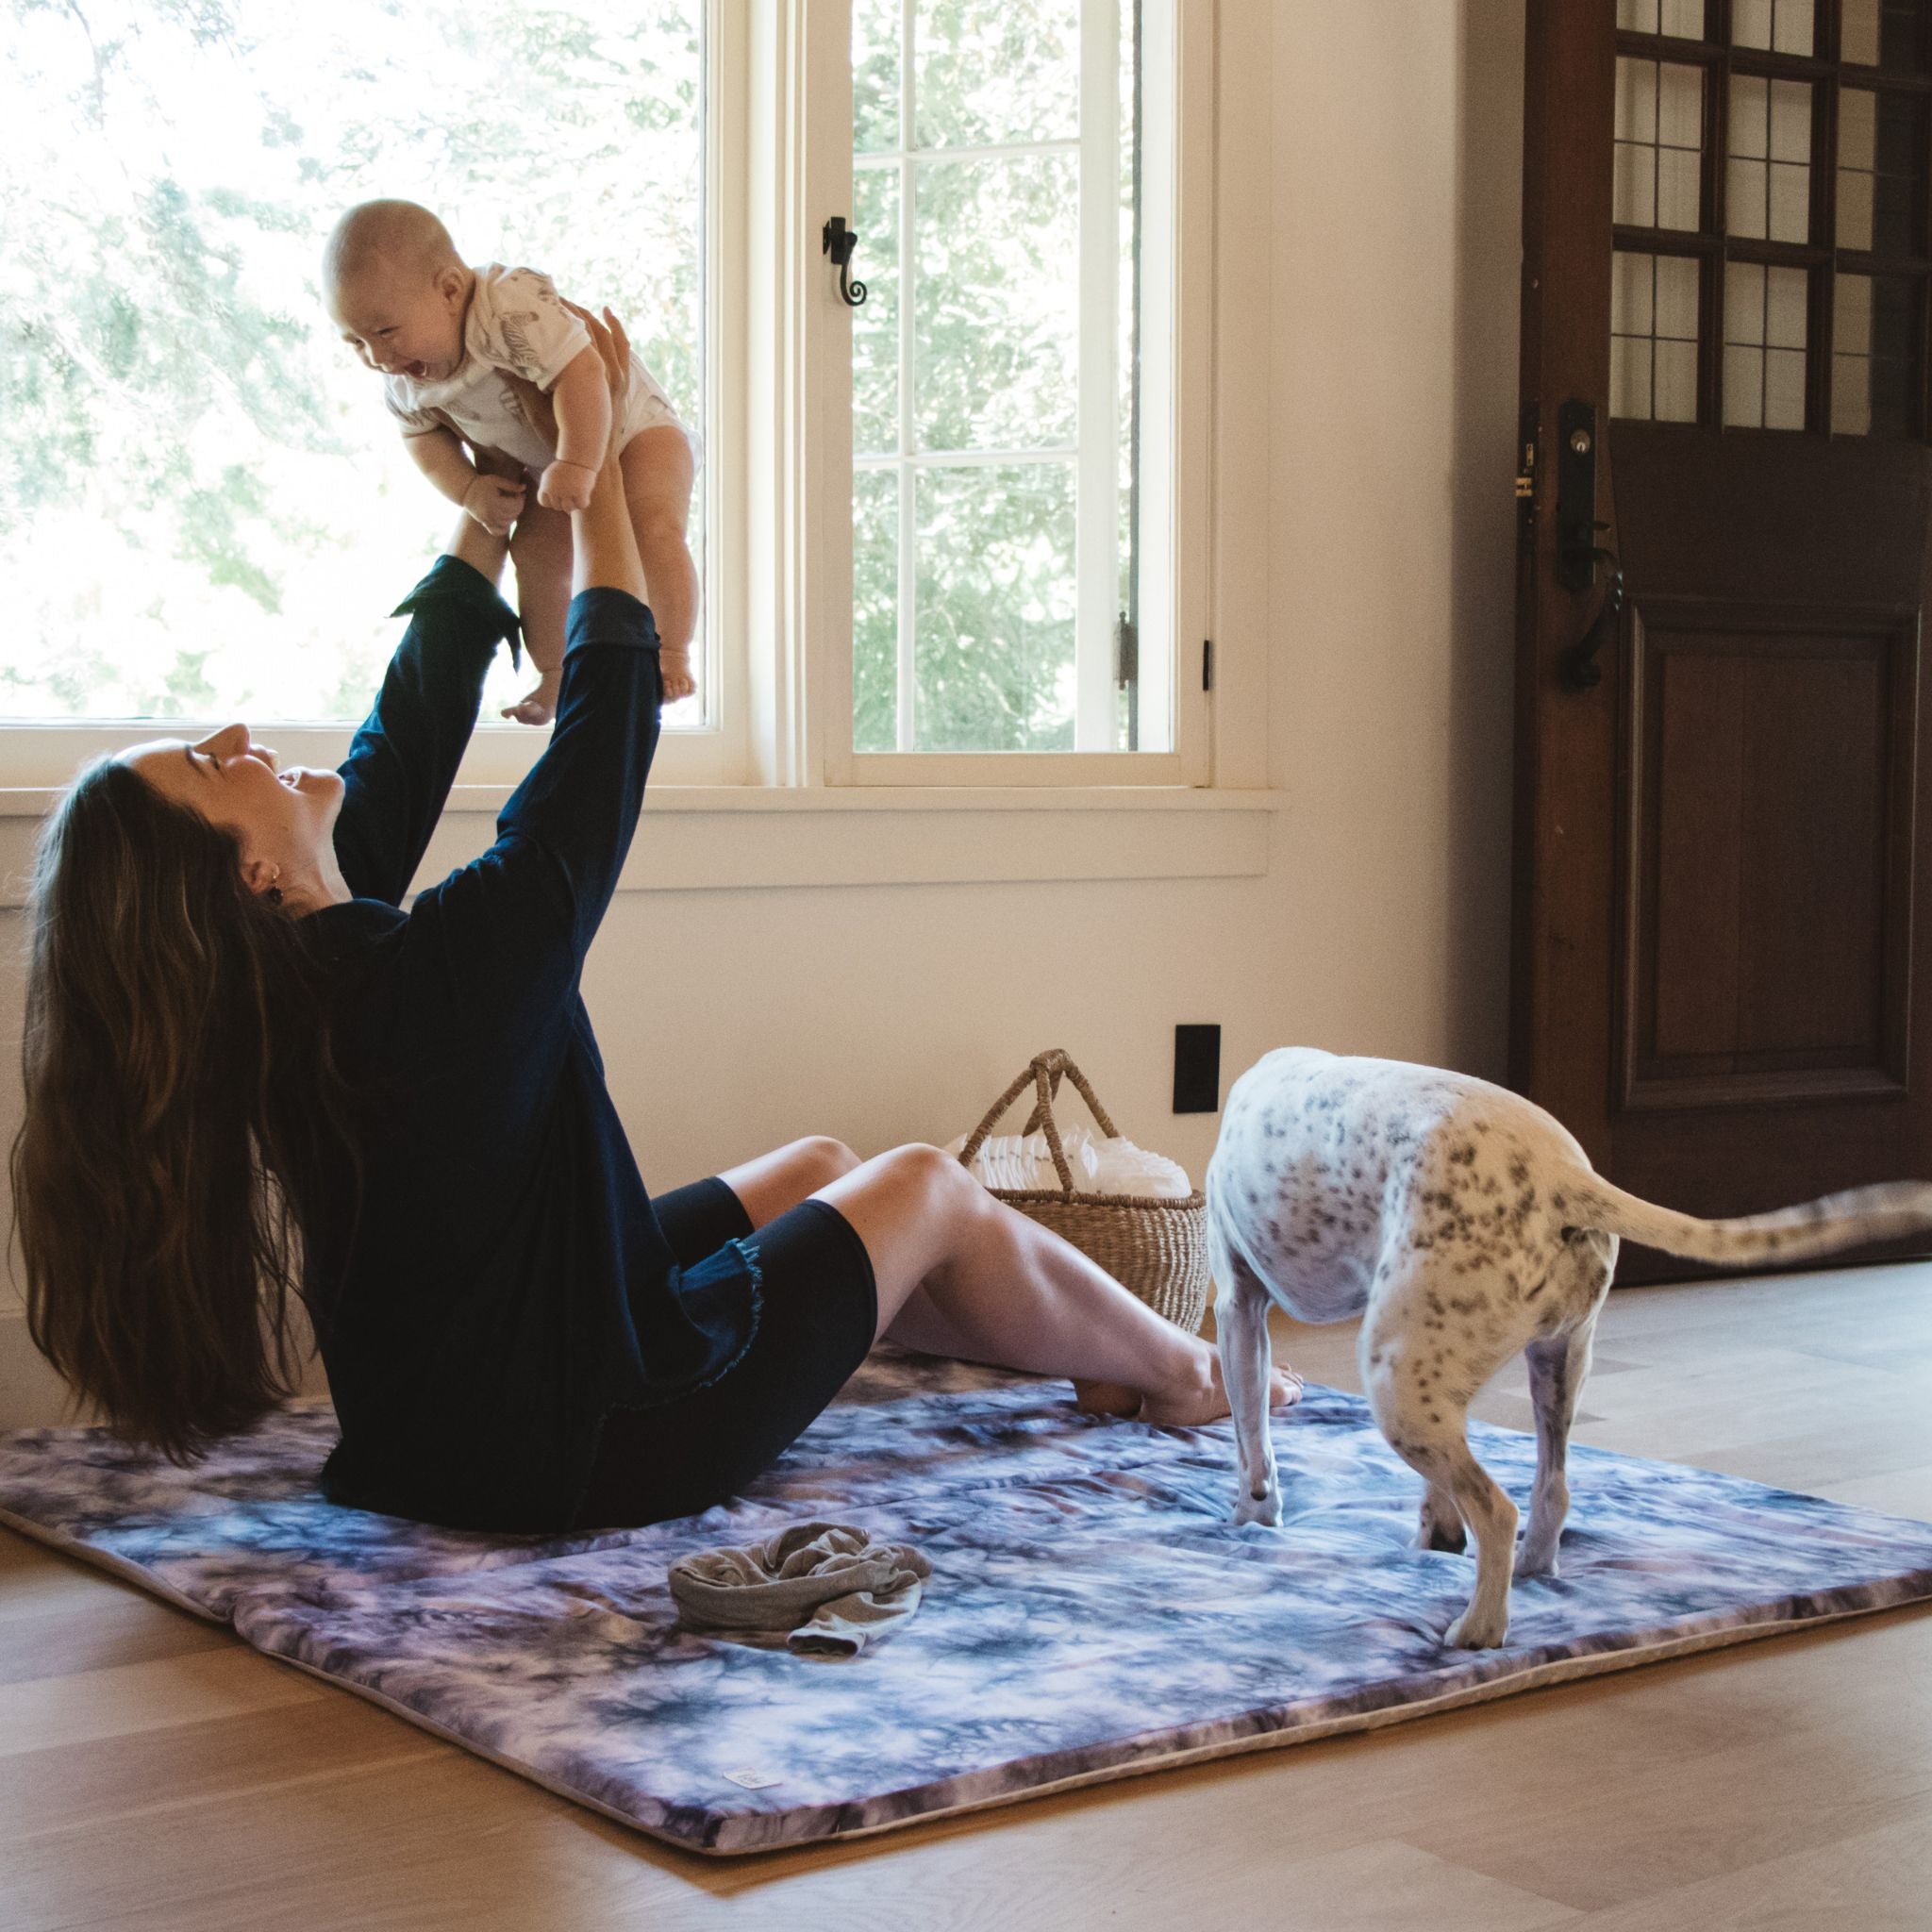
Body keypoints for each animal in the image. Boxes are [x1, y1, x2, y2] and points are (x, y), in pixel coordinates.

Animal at [1205, 1051, 1932, 1654]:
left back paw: (1477, 1629)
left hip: (1395, 1378)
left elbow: (1254, 1445)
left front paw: (1253, 1517)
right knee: (1552, 1490)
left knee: (1499, 1510)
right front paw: (1436, 1529)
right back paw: (1531, 1570)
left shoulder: (1240, 1314)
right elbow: (1435, 1487)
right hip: (1548, 1364)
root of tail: (1562, 1177)